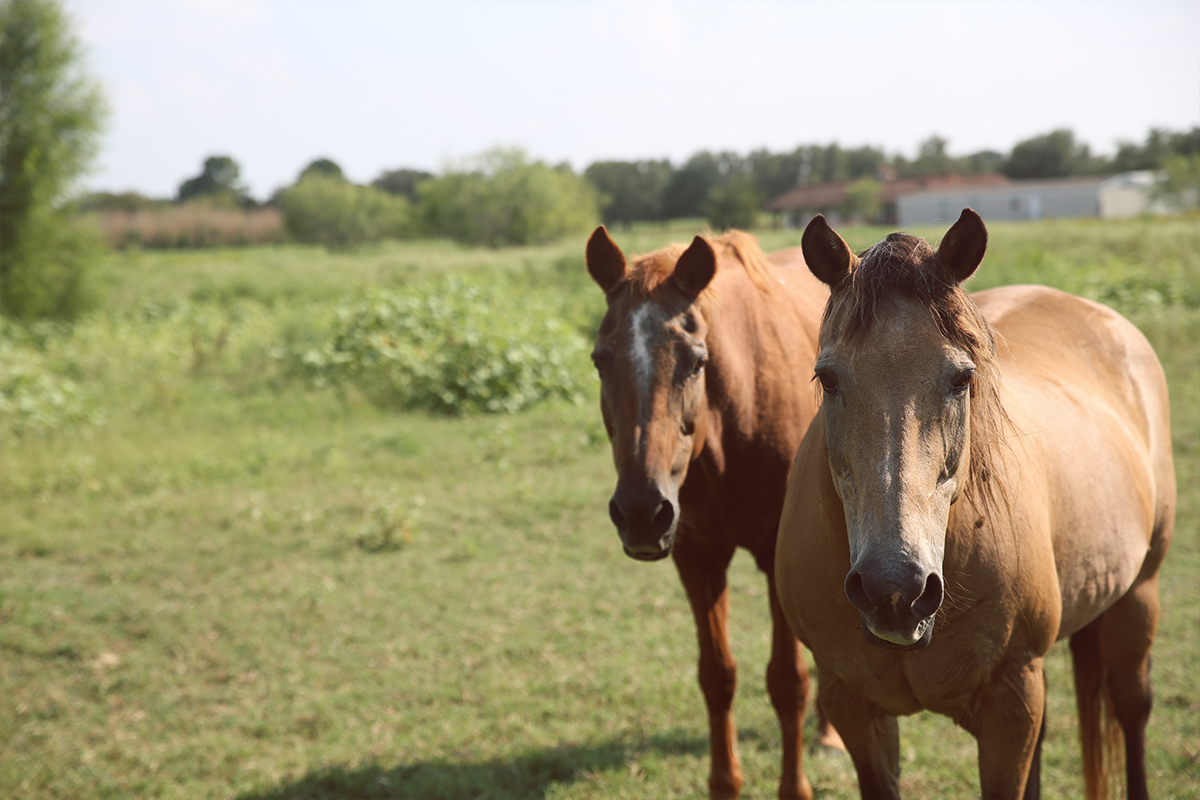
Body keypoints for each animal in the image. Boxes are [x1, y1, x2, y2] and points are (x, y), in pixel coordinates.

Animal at [585, 226, 840, 800]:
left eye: (696, 361)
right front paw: (725, 782)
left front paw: (795, 787)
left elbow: (787, 681)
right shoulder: (697, 558)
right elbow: (717, 676)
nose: (640, 512)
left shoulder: (774, 555)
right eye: (600, 359)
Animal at [772, 211, 1176, 800]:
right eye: (827, 377)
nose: (894, 587)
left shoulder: (1010, 704)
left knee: (1132, 708)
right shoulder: (851, 704)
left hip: (1138, 594)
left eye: (962, 378)